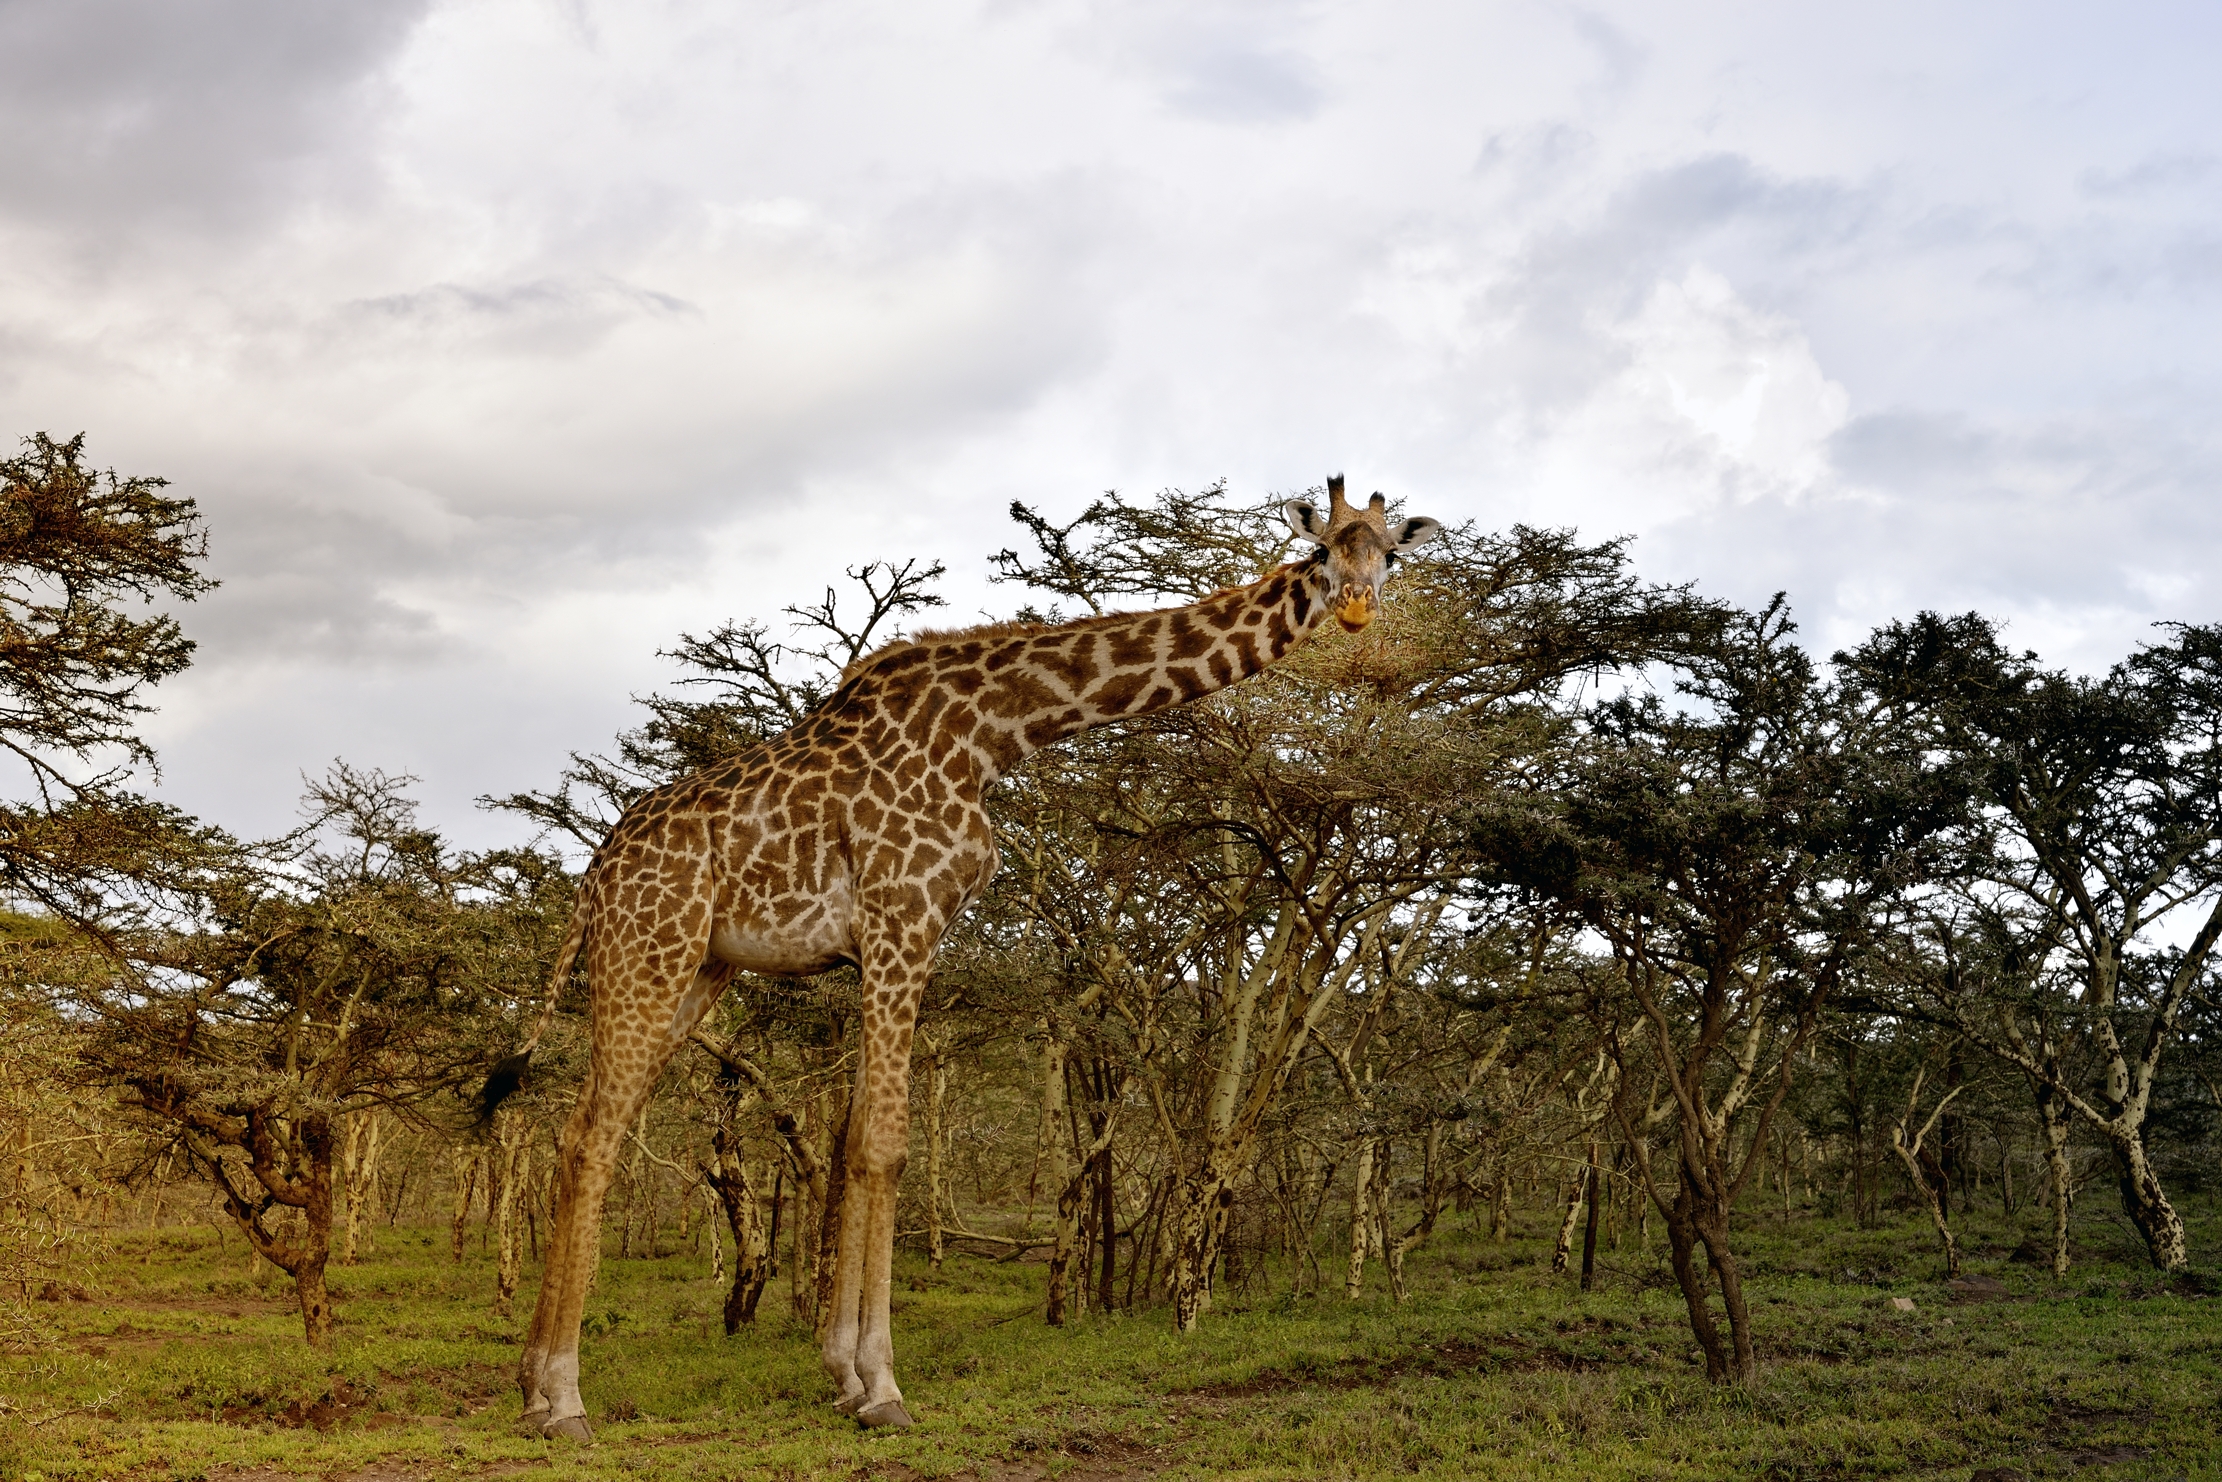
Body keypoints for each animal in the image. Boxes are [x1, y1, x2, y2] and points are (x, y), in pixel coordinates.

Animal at [496, 477, 1441, 1438]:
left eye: (1389, 556)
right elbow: (885, 1147)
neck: (996, 730)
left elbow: (851, 1148)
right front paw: (883, 1387)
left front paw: (843, 1375)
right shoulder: (902, 917)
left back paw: (534, 1386)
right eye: (1324, 550)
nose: (1358, 608)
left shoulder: (890, 941)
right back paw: (563, 1399)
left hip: (697, 969)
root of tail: (595, 876)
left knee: (578, 1130)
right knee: (597, 1136)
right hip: (651, 949)